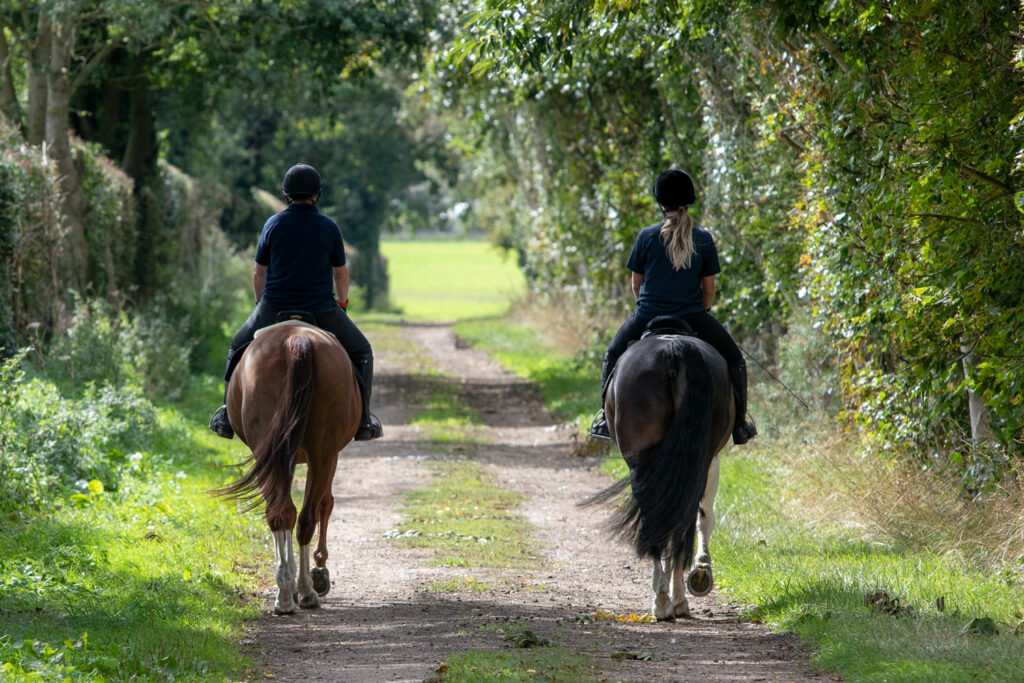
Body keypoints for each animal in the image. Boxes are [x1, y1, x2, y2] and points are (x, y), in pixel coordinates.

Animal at [216, 323, 360, 618]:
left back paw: (285, 593)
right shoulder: (330, 457)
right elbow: (326, 504)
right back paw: (305, 590)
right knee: (303, 516)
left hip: (272, 451)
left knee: (282, 513)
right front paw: (318, 571)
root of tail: (296, 338)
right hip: (322, 454)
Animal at [589, 327, 733, 622]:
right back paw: (675, 597)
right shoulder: (706, 460)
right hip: (695, 458)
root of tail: (674, 350)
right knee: (679, 518)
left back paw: (664, 601)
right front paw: (700, 570)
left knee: (658, 516)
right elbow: (702, 517)